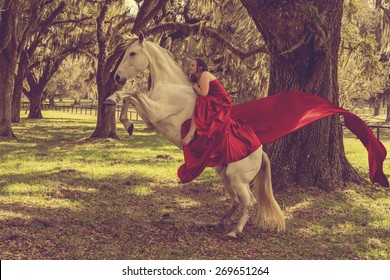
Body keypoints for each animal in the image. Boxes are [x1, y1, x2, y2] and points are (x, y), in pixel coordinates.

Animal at [105, 33, 284, 238]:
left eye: (132, 53)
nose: (117, 76)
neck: (171, 86)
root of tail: (260, 152)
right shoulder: (151, 118)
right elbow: (129, 97)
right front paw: (127, 123)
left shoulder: (155, 111)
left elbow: (133, 92)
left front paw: (111, 99)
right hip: (225, 175)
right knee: (236, 200)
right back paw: (219, 222)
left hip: (237, 179)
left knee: (249, 202)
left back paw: (234, 231)